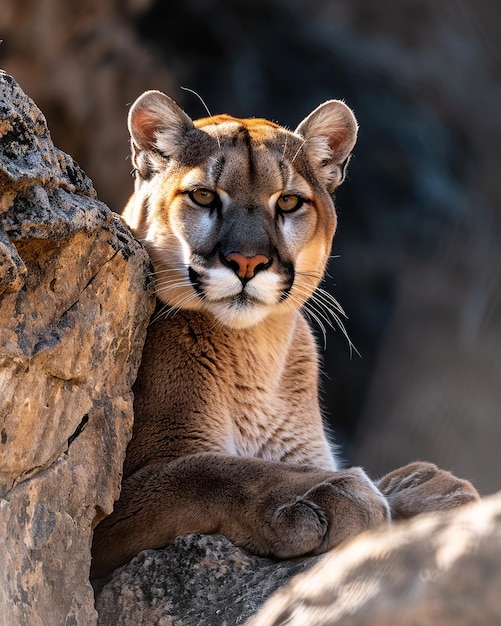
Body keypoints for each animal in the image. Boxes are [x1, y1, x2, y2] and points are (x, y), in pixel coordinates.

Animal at [89, 89, 476, 576]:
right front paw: (330, 492)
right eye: (203, 196)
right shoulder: (113, 504)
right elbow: (212, 472)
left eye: (289, 202)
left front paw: (427, 488)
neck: (259, 354)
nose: (247, 262)